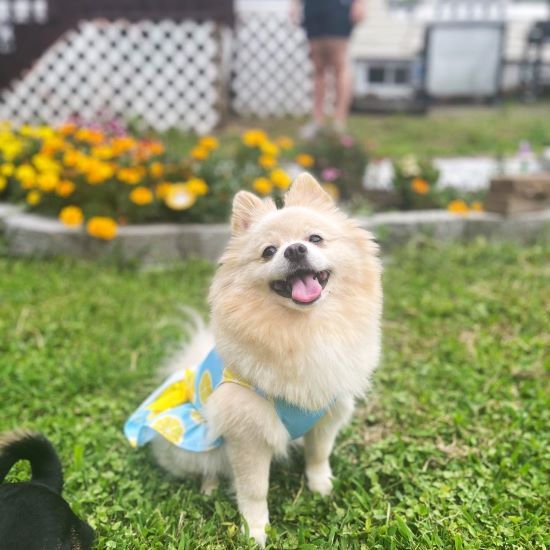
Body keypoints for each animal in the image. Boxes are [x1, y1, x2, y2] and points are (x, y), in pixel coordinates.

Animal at [151, 174, 384, 548]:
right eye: (269, 251)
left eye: (315, 238)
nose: (295, 249)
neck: (304, 331)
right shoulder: (247, 434)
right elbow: (253, 489)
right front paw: (256, 530)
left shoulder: (327, 412)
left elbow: (318, 455)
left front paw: (322, 487)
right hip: (196, 442)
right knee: (207, 464)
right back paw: (209, 486)